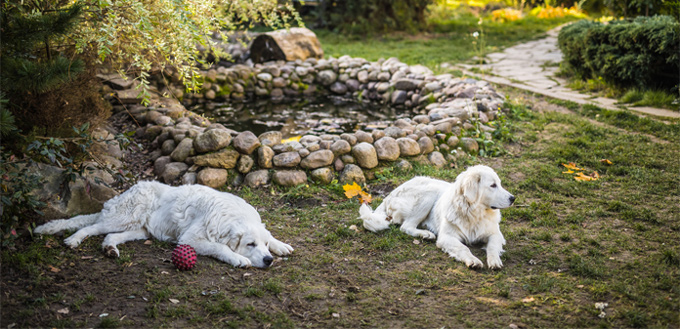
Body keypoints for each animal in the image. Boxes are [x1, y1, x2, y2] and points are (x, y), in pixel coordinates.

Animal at [35, 181, 292, 268]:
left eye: (264, 244)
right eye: (250, 244)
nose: (268, 260)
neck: (233, 216)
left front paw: (281, 245)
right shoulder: (190, 239)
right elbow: (220, 247)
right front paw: (238, 258)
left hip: (137, 229)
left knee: (110, 237)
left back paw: (110, 249)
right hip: (123, 218)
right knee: (89, 227)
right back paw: (74, 239)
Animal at [358, 165, 512, 268]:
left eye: (499, 184)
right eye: (493, 185)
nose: (513, 198)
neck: (474, 213)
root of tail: (391, 193)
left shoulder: (495, 234)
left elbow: (492, 247)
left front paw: (494, 261)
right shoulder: (446, 237)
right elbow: (463, 248)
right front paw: (472, 260)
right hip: (429, 193)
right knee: (405, 227)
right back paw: (425, 234)